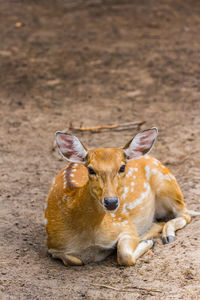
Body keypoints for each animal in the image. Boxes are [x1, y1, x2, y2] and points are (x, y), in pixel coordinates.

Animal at [44, 127, 199, 266]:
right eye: (91, 169)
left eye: (122, 167)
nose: (111, 202)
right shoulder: (53, 246)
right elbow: (73, 260)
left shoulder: (124, 224)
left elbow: (124, 255)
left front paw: (146, 241)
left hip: (166, 183)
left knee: (185, 213)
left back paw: (164, 235)